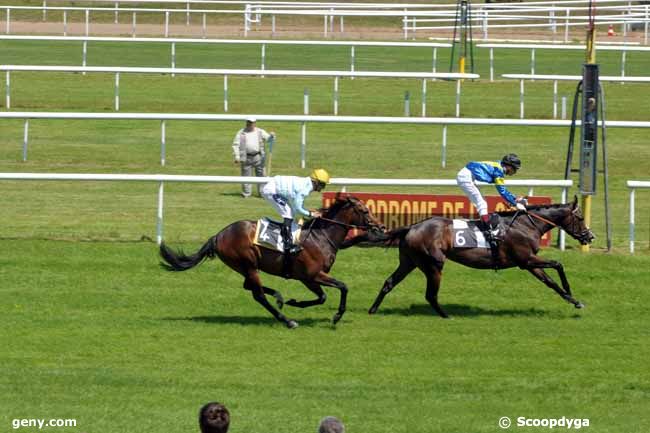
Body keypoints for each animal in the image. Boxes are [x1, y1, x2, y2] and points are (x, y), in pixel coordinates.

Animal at [159, 195, 382, 328]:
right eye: (365, 211)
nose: (380, 227)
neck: (321, 237)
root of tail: (218, 235)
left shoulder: (309, 278)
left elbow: (322, 297)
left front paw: (295, 302)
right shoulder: (312, 275)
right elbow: (343, 287)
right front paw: (336, 316)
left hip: (246, 267)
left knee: (249, 287)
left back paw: (279, 296)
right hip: (248, 263)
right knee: (257, 294)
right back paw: (287, 320)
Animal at [364, 197, 592, 318]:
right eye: (580, 218)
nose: (590, 236)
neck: (526, 225)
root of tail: (411, 227)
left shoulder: (528, 263)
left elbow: (550, 282)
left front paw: (574, 301)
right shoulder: (525, 260)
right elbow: (558, 264)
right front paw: (571, 291)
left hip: (409, 261)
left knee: (389, 282)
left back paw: (373, 309)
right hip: (433, 263)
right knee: (430, 294)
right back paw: (446, 315)